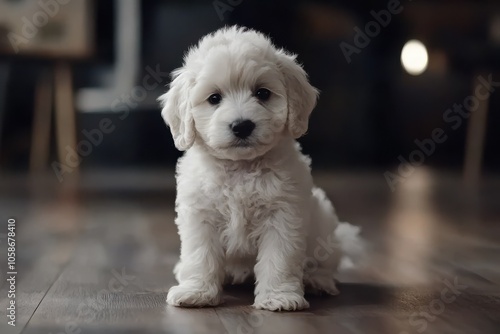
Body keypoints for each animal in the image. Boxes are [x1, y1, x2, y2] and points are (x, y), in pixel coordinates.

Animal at [159, 26, 360, 314]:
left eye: (262, 93)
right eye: (214, 98)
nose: (242, 126)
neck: (240, 167)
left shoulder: (283, 214)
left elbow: (280, 258)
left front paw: (279, 297)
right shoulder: (200, 214)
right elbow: (200, 255)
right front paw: (196, 292)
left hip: (323, 225)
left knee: (325, 261)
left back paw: (317, 280)